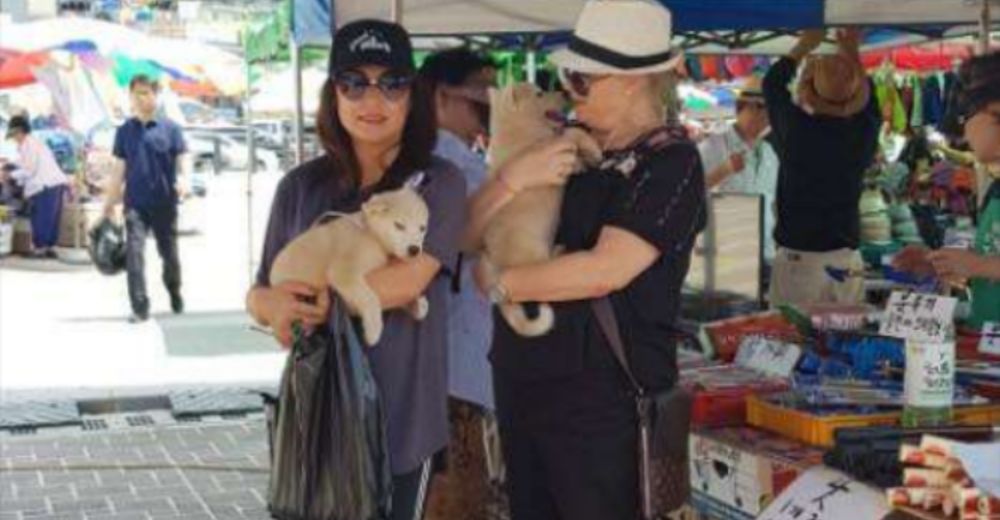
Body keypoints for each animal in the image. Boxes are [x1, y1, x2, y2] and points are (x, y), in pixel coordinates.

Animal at [270, 187, 430, 346]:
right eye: (399, 225)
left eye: (422, 228)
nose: (414, 250)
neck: (371, 234)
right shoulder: (344, 272)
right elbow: (370, 298)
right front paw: (374, 330)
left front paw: (416, 304)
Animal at [484, 83, 600, 338]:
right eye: (539, 93)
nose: (565, 92)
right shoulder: (549, 149)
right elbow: (570, 134)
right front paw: (592, 148)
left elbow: (569, 137)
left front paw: (585, 158)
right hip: (534, 252)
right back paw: (559, 251)